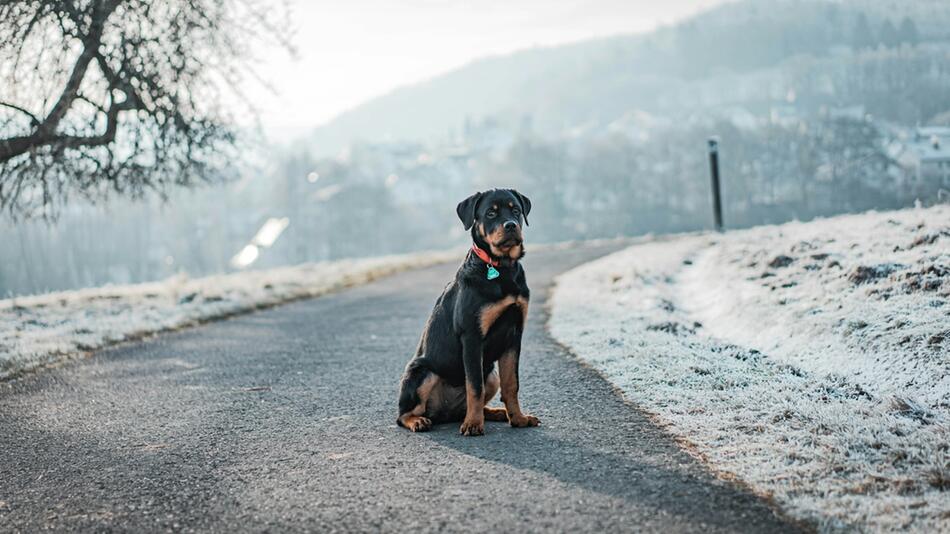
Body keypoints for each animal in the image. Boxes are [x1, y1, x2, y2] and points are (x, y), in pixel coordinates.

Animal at [398, 188, 540, 436]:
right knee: (403, 414)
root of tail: (444, 413)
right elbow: (474, 387)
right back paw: (419, 421)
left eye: (516, 210)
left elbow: (511, 383)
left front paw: (518, 419)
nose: (511, 225)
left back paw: (495, 413)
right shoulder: (472, 336)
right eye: (491, 213)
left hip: (491, 374)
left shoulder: (514, 335)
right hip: (421, 372)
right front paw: (473, 425)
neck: (500, 267)